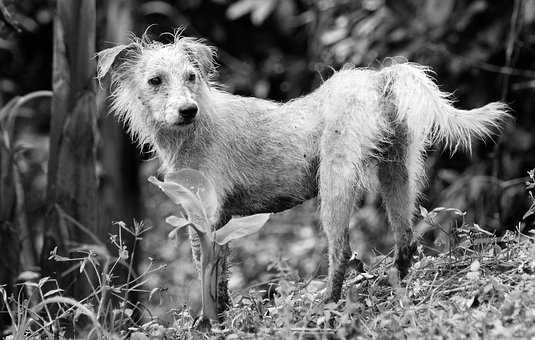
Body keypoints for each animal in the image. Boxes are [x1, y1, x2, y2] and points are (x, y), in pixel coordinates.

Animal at [96, 31, 510, 310]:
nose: (187, 110)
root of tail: (378, 78)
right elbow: (222, 279)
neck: (196, 129)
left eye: (191, 77)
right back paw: (396, 288)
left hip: (335, 181)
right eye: (155, 81)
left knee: (342, 251)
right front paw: (223, 317)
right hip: (398, 172)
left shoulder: (205, 220)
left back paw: (328, 304)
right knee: (406, 242)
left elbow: (206, 278)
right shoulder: (221, 223)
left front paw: (208, 323)